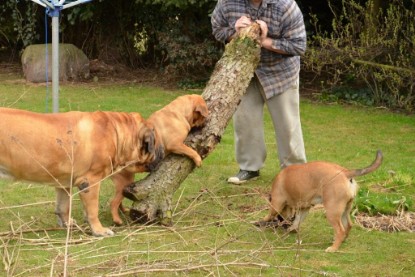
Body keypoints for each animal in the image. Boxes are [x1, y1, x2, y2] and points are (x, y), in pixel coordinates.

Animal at [0, 107, 165, 235]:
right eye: (156, 143)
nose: (163, 151)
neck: (116, 133)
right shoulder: (90, 181)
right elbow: (92, 209)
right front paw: (99, 230)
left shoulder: (64, 182)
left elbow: (63, 206)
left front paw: (67, 224)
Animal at [111, 94, 210, 223]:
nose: (207, 121)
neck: (180, 112)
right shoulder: (176, 144)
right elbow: (191, 150)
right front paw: (198, 159)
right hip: (124, 181)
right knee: (113, 202)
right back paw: (117, 220)